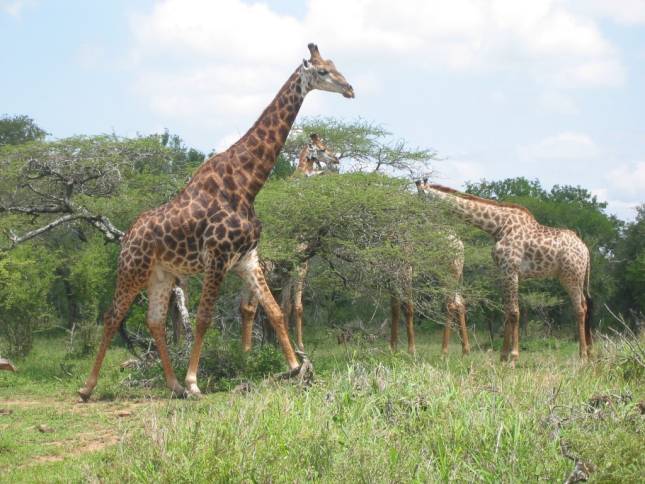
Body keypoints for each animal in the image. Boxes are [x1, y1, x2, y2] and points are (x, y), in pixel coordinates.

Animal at [236, 132, 338, 352]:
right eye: (322, 148)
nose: (336, 159)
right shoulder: (300, 265)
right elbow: (297, 307)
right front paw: (300, 345)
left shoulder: (286, 271)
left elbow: (286, 306)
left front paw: (283, 344)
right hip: (261, 270)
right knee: (252, 307)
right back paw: (249, 351)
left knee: (245, 308)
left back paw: (244, 350)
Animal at [416, 179, 592, 364]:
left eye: (419, 198)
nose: (416, 217)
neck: (498, 226)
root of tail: (586, 251)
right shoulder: (503, 271)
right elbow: (507, 311)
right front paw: (503, 356)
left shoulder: (511, 270)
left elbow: (514, 312)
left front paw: (513, 357)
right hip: (576, 279)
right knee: (585, 305)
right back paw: (589, 352)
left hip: (570, 277)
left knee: (579, 309)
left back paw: (582, 356)